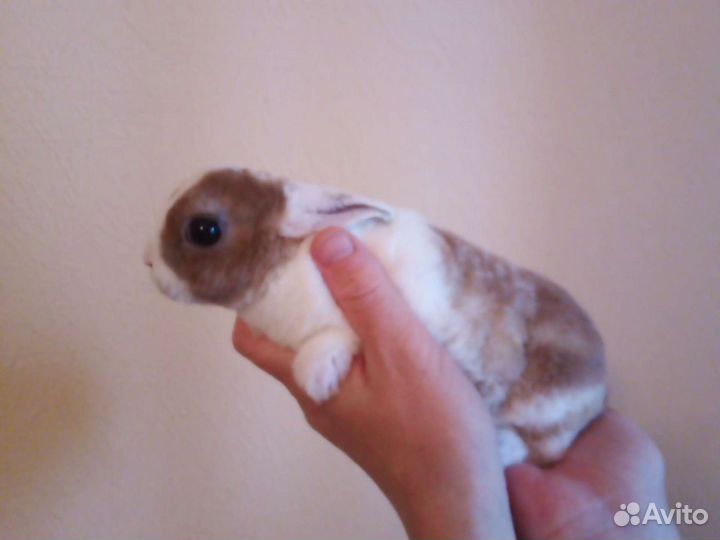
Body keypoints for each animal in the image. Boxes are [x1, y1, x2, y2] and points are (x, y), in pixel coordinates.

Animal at [145, 167, 607, 466]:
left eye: (204, 230)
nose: (147, 261)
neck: (284, 263)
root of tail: (600, 384)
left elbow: (336, 336)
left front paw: (317, 376)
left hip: (545, 402)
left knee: (547, 449)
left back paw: (502, 447)